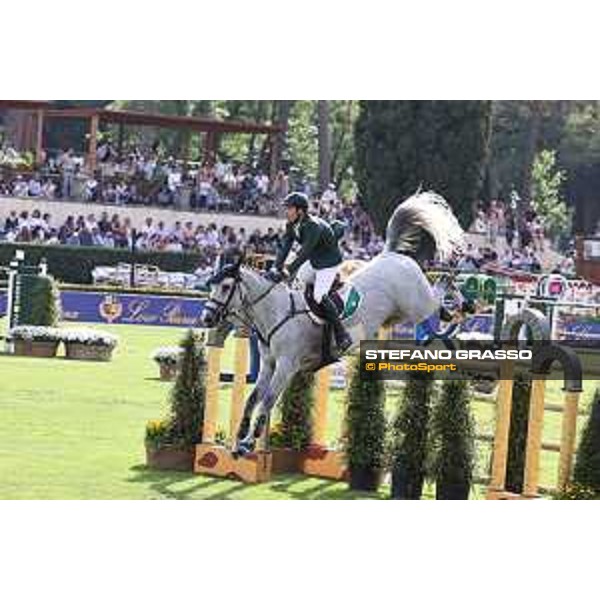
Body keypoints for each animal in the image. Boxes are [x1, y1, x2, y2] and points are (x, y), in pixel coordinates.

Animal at [202, 192, 464, 454]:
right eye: (212, 285)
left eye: (226, 286)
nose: (207, 318)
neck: (275, 312)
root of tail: (392, 255)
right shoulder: (269, 364)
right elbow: (253, 398)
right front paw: (240, 436)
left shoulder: (287, 365)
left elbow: (267, 401)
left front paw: (248, 442)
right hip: (399, 313)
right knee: (433, 310)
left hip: (417, 304)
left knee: (437, 298)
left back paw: (456, 300)